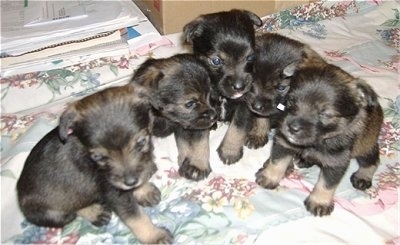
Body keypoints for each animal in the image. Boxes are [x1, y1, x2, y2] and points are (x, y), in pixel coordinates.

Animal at [16, 85, 173, 243]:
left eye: (141, 142)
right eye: (98, 156)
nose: (130, 182)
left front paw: (143, 191)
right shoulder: (114, 193)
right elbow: (136, 218)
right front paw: (155, 236)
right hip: (52, 214)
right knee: (73, 209)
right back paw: (95, 212)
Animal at [183, 9, 264, 165]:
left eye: (250, 57)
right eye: (216, 61)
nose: (239, 86)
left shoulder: (244, 105)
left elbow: (237, 128)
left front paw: (229, 151)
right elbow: (199, 138)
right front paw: (197, 163)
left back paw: (257, 135)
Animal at [256, 63, 384, 216]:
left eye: (325, 114)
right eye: (291, 101)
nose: (292, 128)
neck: (316, 142)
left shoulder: (336, 162)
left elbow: (326, 184)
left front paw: (319, 202)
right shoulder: (284, 142)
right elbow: (277, 162)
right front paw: (269, 177)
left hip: (366, 144)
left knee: (372, 160)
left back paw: (363, 176)